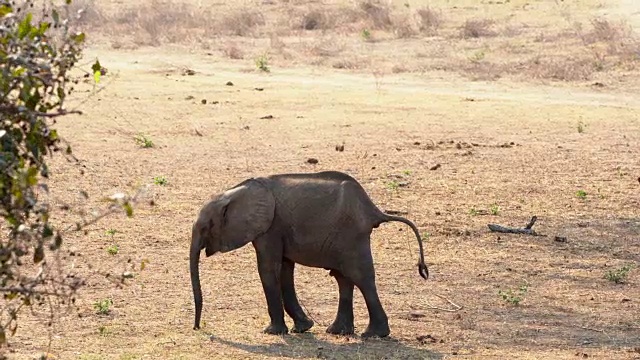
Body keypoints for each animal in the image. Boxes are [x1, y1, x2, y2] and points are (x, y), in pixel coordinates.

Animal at [190, 170, 430, 338]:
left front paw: (272, 332)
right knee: (344, 279)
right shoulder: (279, 229)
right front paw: (303, 328)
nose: (197, 327)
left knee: (361, 278)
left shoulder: (270, 228)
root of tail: (374, 211)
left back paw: (373, 335)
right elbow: (285, 271)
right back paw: (338, 331)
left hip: (352, 235)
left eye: (207, 226)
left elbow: (268, 269)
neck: (236, 191)